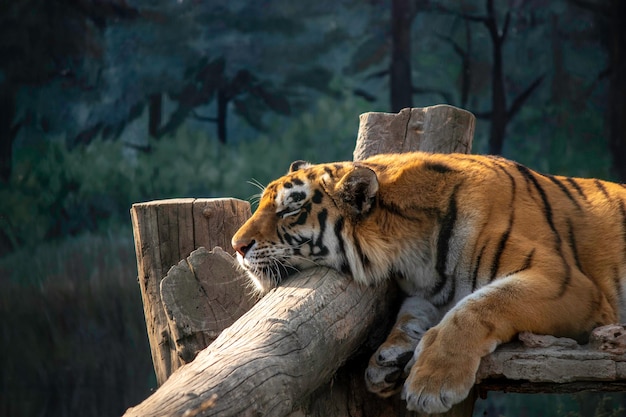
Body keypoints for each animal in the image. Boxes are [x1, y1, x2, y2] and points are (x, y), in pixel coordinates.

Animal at [229, 150, 624, 412]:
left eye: (289, 210)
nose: (236, 246)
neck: (412, 252)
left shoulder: (565, 282)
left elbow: (478, 307)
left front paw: (432, 383)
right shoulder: (427, 291)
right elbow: (412, 314)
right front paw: (387, 359)